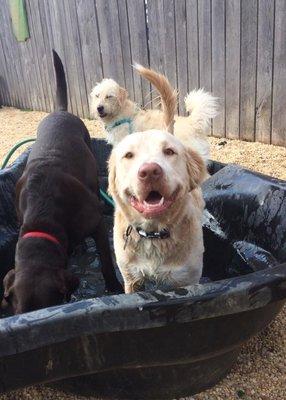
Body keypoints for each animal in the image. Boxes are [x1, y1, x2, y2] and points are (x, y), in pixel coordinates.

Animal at [109, 130, 206, 292]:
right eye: (128, 155)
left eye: (169, 151)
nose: (150, 172)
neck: (153, 234)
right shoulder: (131, 278)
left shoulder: (187, 278)